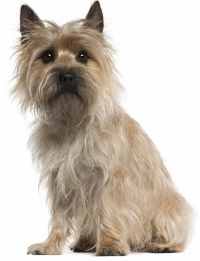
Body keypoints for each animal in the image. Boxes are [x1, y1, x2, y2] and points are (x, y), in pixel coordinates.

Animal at [14, 1, 192, 255]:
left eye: (83, 55)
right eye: (47, 56)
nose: (66, 75)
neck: (73, 120)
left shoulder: (110, 178)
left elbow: (108, 209)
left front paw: (109, 245)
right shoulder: (60, 179)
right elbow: (59, 217)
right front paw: (49, 245)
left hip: (171, 206)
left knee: (174, 232)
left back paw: (161, 245)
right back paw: (85, 241)